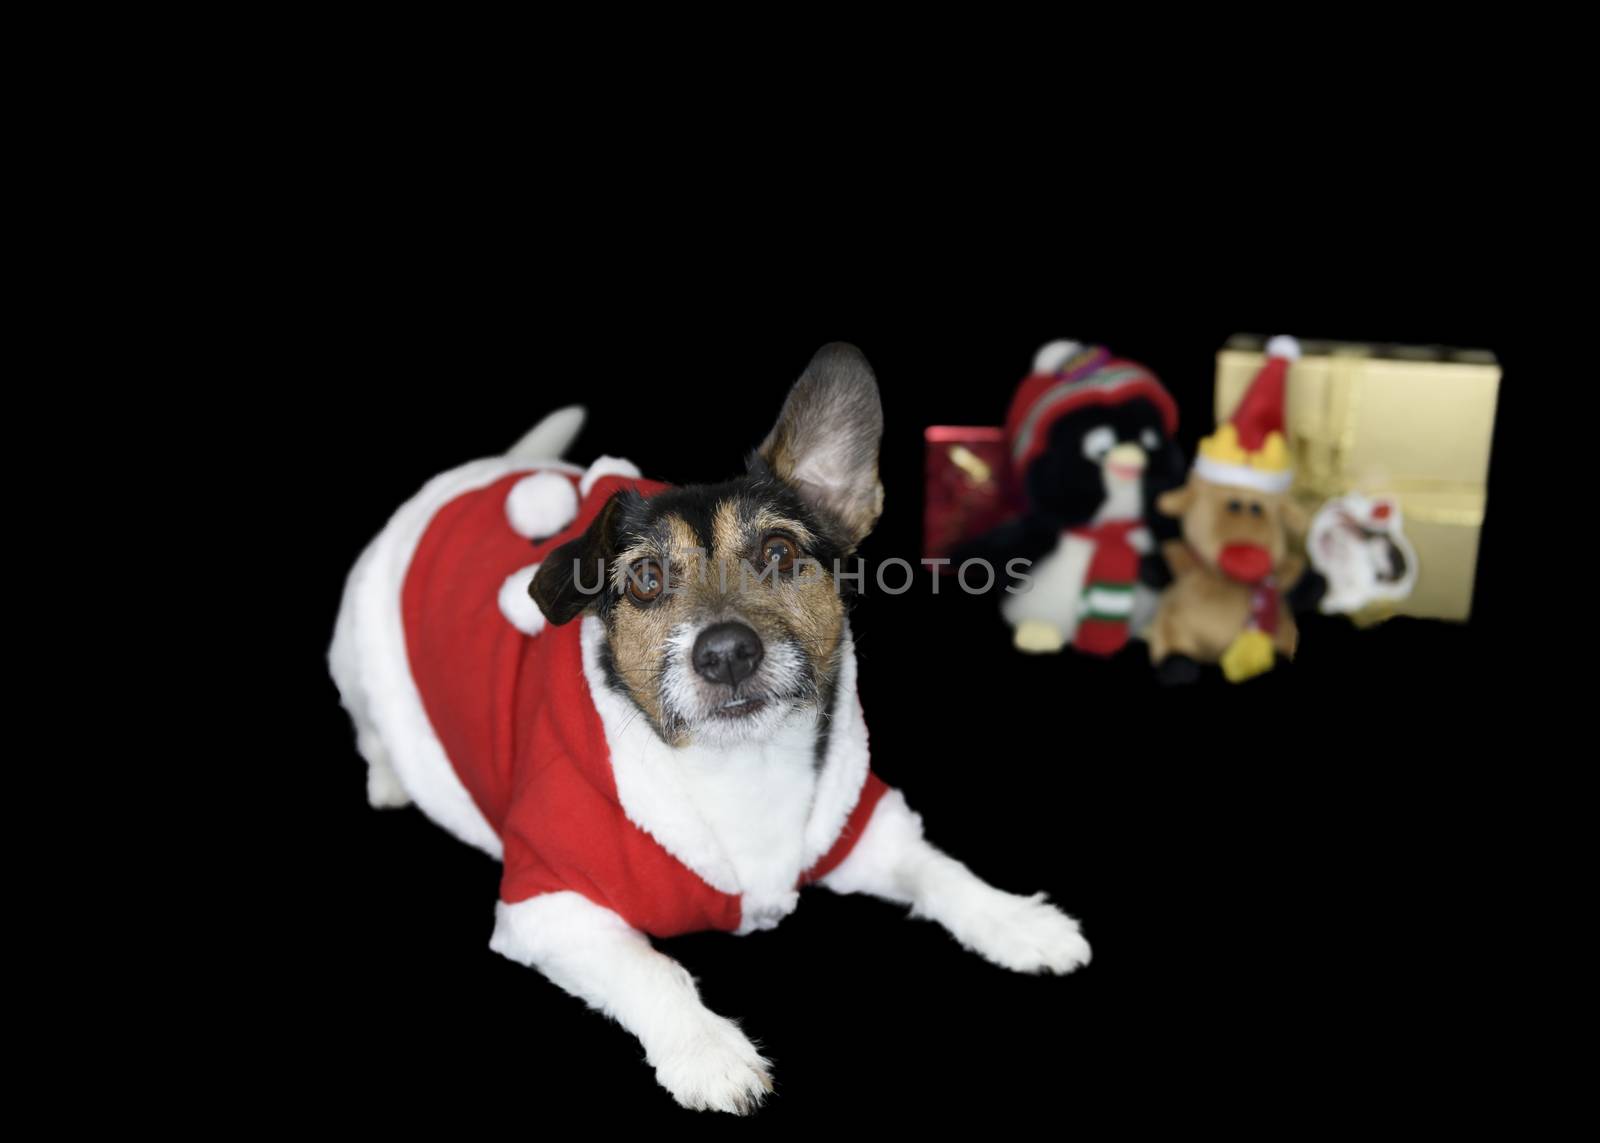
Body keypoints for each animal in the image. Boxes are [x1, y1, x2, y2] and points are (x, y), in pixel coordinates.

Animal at [331, 342, 1094, 1107]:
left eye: (780, 552)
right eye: (645, 579)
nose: (726, 651)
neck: (741, 765)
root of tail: (474, 473)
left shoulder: (860, 827)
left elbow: (936, 867)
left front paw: (1014, 919)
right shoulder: (550, 898)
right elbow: (651, 968)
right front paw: (705, 1049)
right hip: (356, 658)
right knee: (370, 729)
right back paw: (390, 778)